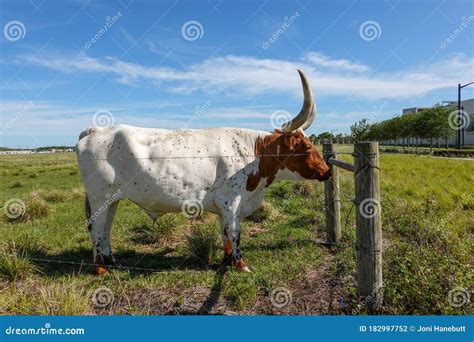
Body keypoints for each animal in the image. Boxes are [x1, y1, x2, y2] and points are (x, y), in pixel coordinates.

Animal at [77, 70, 330, 276]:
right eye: (307, 147)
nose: (327, 171)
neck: (253, 155)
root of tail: (94, 130)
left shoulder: (224, 207)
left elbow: (226, 233)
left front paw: (227, 261)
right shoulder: (231, 202)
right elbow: (235, 233)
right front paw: (241, 265)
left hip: (113, 199)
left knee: (106, 228)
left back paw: (112, 261)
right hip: (99, 198)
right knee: (96, 228)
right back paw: (100, 269)